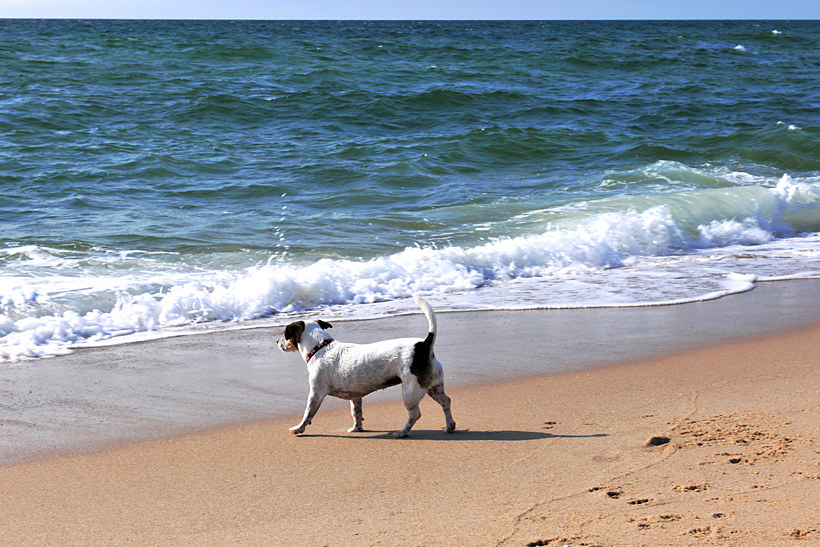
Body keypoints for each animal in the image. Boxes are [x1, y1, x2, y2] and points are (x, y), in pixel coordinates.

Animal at [276, 298, 454, 438]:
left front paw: (299, 428)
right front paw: (357, 428)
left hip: (410, 391)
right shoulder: (355, 396)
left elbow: (308, 413)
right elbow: (356, 413)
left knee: (415, 413)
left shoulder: (316, 394)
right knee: (446, 401)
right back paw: (450, 426)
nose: (277, 342)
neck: (320, 348)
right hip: (433, 386)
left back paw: (402, 432)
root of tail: (423, 345)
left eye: (285, 334)